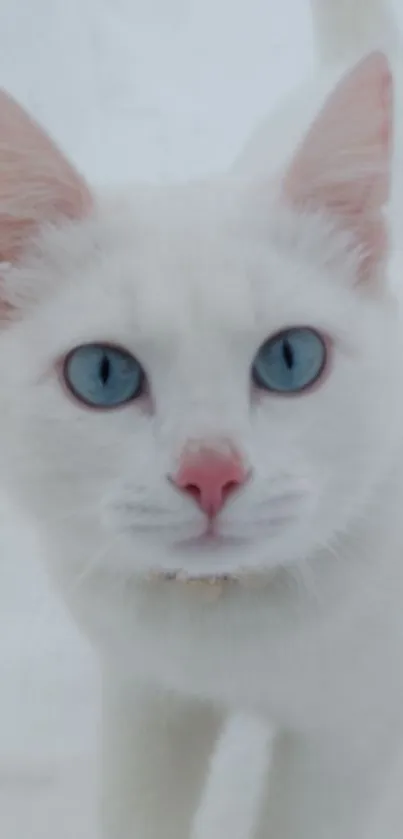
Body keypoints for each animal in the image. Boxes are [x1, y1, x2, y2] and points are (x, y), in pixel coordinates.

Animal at [0, 1, 403, 839]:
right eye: (103, 374)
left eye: (290, 358)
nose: (210, 471)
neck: (220, 630)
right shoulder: (145, 695)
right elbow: (134, 810)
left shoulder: (346, 744)